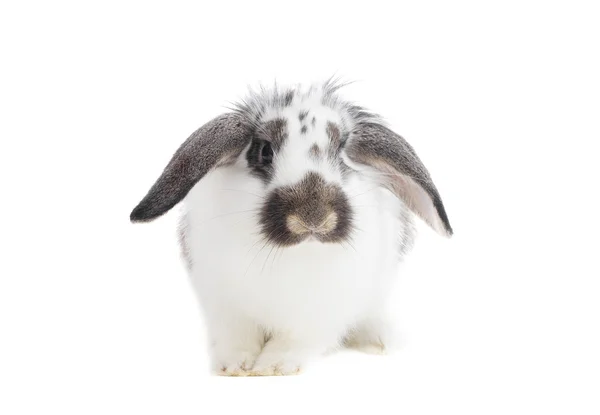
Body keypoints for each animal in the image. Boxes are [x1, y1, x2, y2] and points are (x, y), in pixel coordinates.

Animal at [130, 79, 450, 376]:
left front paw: (272, 366)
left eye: (341, 152)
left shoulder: (321, 313)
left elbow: (296, 341)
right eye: (264, 152)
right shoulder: (226, 304)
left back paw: (379, 343)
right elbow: (237, 338)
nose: (313, 217)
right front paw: (234, 366)